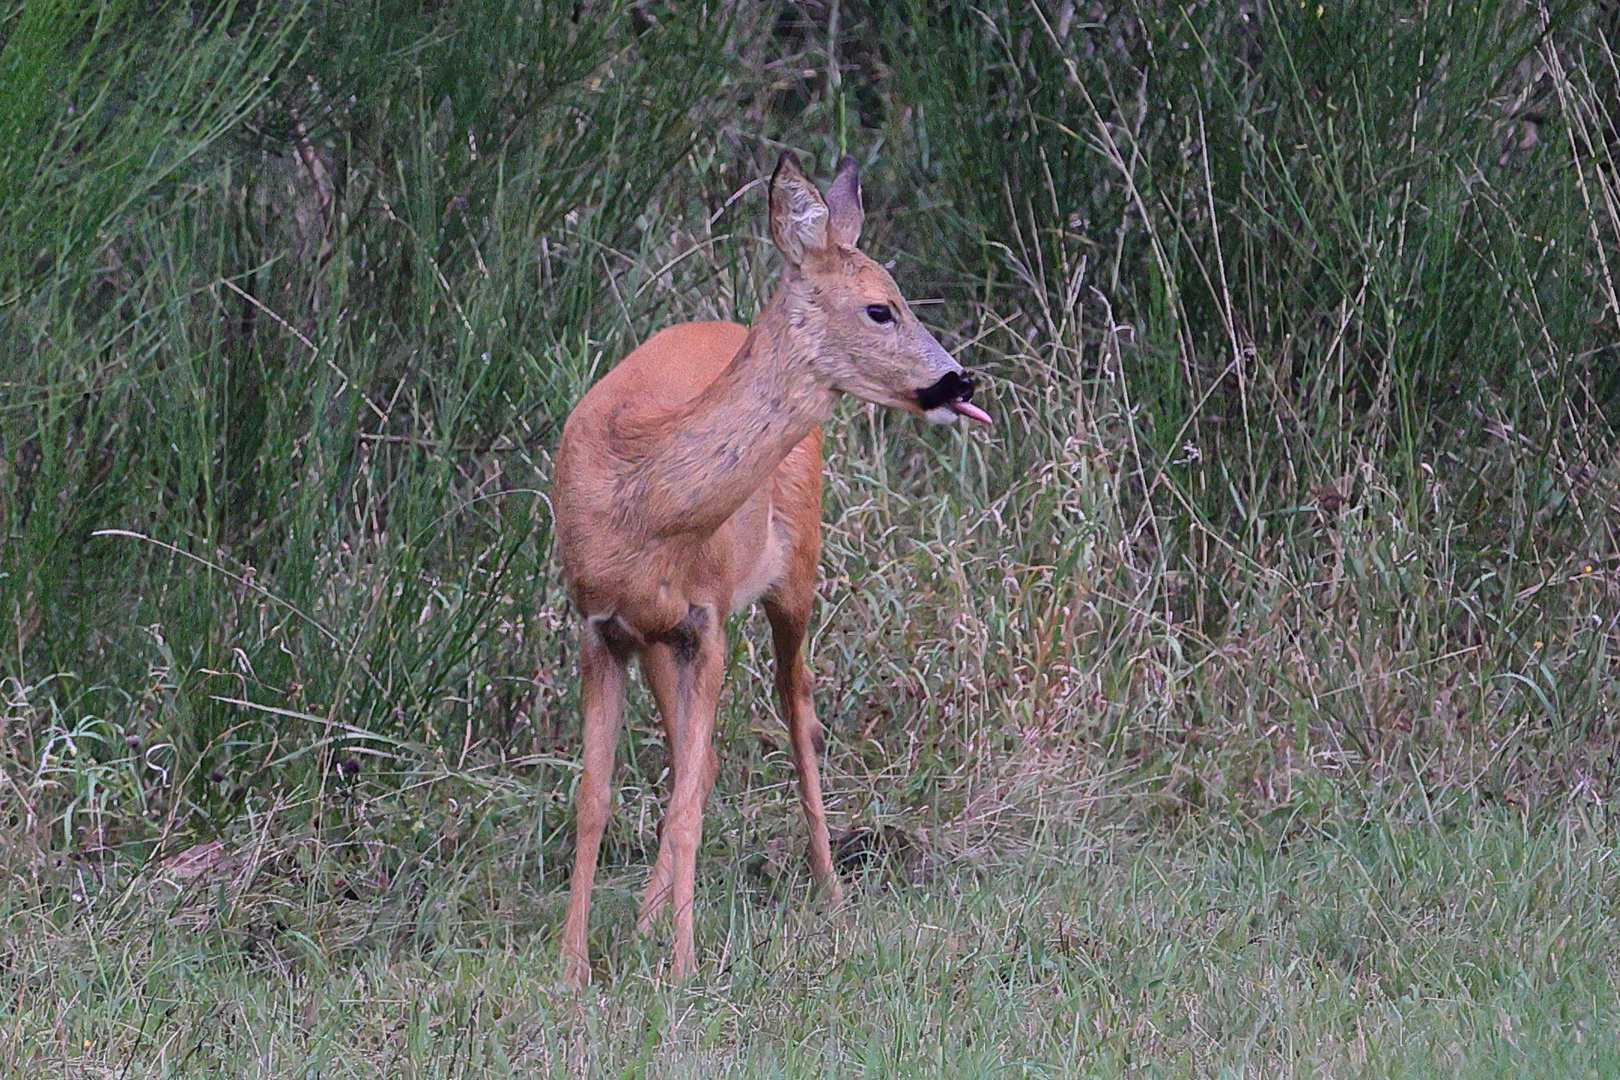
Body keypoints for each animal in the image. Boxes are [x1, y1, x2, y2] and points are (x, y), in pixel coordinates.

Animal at [554, 152, 984, 990]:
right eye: (881, 309)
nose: (960, 382)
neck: (637, 504)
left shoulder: (709, 618)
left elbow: (686, 803)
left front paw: (683, 965)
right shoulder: (600, 626)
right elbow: (594, 799)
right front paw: (572, 967)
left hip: (800, 567)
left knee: (797, 708)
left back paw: (832, 894)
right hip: (661, 640)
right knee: (706, 756)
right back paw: (648, 921)